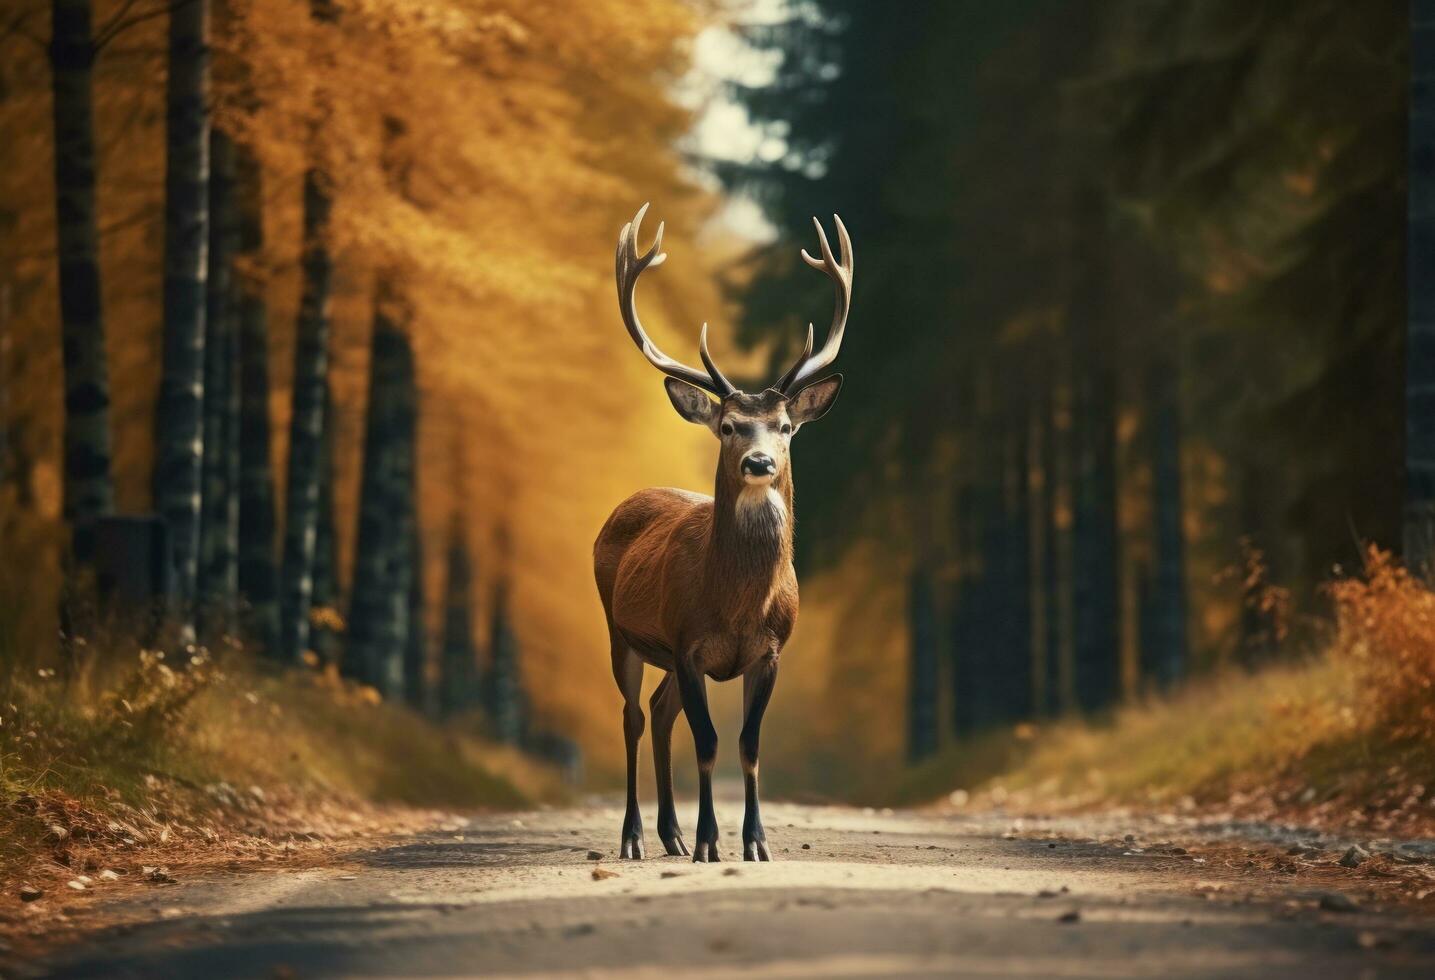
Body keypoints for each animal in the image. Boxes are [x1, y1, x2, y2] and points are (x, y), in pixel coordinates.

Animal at [594, 203, 849, 860]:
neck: (736, 605)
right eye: (730, 426)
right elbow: (707, 743)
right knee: (633, 716)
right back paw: (635, 837)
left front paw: (755, 842)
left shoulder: (770, 649)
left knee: (660, 712)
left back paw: (671, 834)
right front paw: (713, 841)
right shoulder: (688, 643)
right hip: (620, 630)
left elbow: (748, 745)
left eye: (785, 426)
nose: (759, 463)